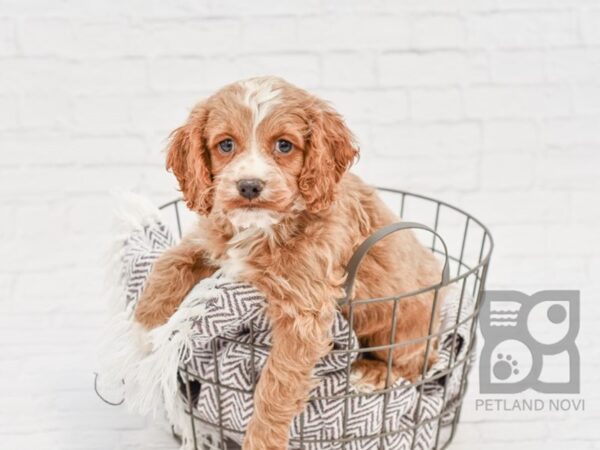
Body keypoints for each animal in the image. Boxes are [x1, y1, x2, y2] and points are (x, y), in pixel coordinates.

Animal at [137, 75, 446, 448]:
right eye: (226, 145)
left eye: (284, 146)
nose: (249, 186)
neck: (264, 226)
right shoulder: (215, 242)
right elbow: (173, 259)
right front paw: (141, 324)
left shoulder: (303, 313)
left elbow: (277, 383)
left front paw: (262, 439)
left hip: (408, 329)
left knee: (414, 366)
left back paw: (371, 372)